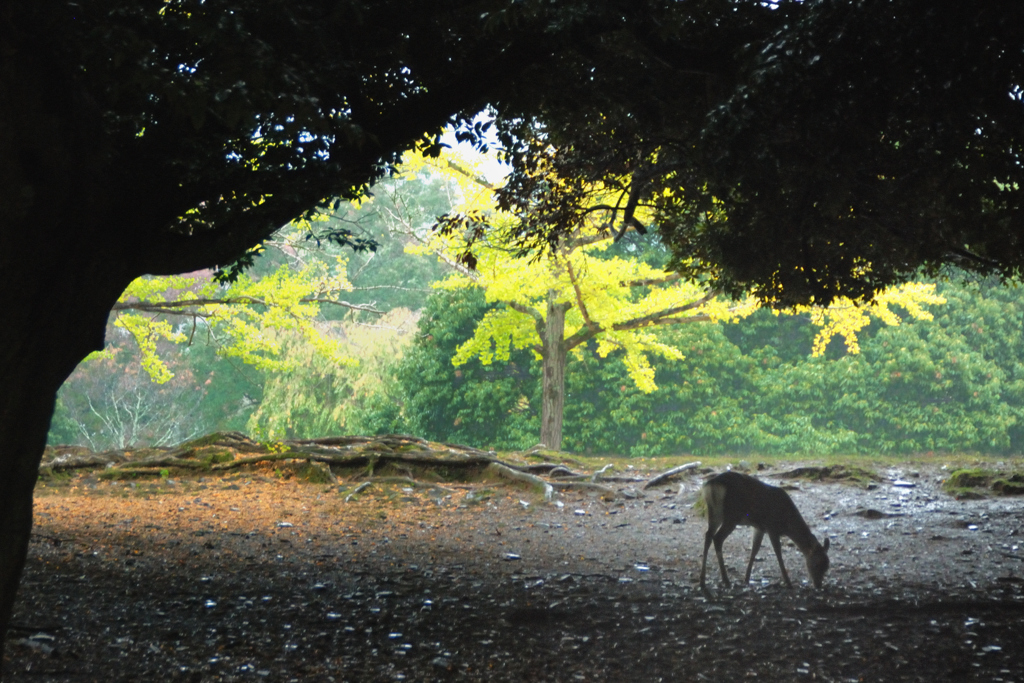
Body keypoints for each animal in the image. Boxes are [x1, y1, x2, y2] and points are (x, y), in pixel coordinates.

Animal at [696, 473, 831, 589]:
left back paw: (702, 580)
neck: (786, 523)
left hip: (714, 514)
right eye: (817, 564)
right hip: (731, 516)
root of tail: (712, 484)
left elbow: (755, 550)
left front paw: (746, 578)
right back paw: (725, 580)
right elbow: (778, 552)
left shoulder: (759, 527)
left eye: (827, 566)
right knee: (717, 538)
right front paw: (788, 582)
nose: (818, 585)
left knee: (708, 535)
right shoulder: (771, 527)